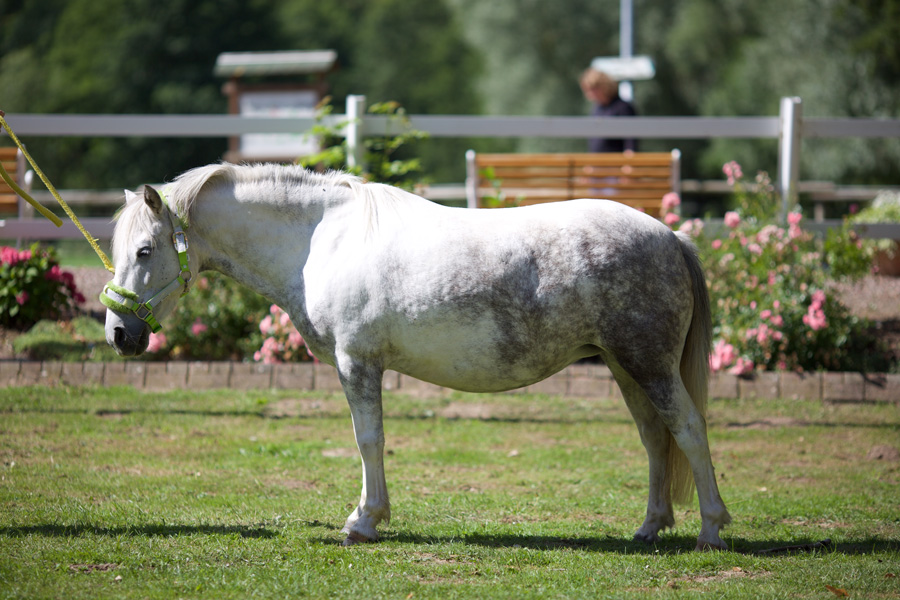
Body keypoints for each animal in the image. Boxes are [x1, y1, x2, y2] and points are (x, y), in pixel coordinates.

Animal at [102, 162, 731, 550]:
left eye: (144, 250)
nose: (119, 333)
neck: (320, 239)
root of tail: (671, 237)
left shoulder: (358, 362)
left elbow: (368, 439)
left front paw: (364, 521)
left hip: (648, 364)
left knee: (689, 429)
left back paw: (711, 529)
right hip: (626, 368)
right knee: (655, 438)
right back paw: (650, 527)